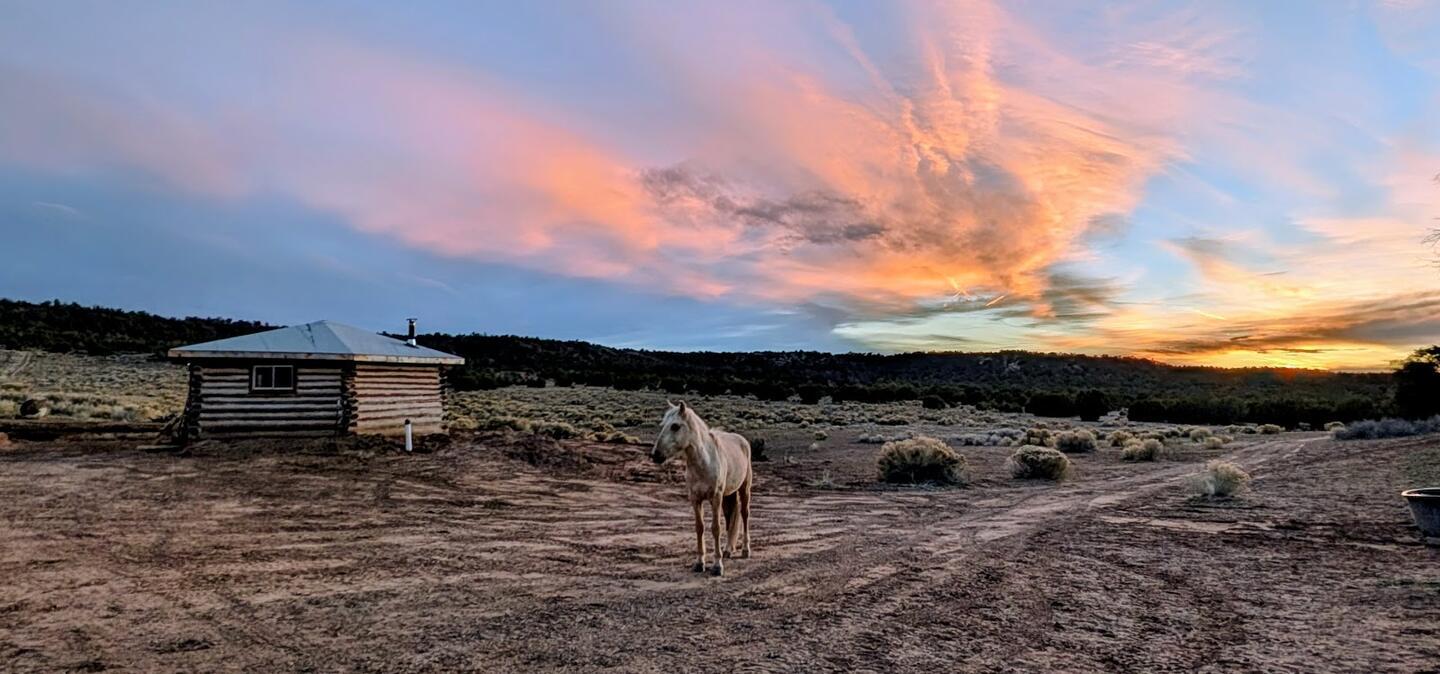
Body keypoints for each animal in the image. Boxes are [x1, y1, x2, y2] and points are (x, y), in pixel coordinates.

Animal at [650, 401, 753, 576]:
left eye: (675, 426)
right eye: (662, 425)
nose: (656, 455)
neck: (704, 462)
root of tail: (742, 440)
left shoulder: (715, 498)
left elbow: (715, 528)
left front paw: (717, 565)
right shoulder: (695, 499)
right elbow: (700, 528)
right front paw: (699, 563)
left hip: (744, 490)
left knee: (744, 515)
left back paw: (745, 550)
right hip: (728, 496)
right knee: (730, 519)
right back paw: (728, 550)